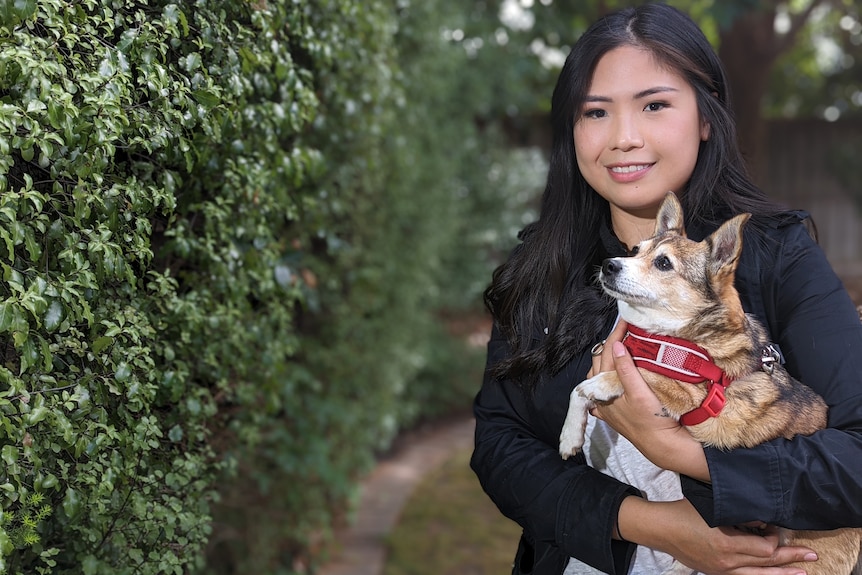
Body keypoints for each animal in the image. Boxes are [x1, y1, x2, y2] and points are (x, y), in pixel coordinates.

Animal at [556, 192, 860, 575]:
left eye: (664, 264)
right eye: (635, 250)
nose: (609, 264)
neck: (666, 335)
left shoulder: (682, 392)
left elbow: (597, 382)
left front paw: (585, 408)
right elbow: (576, 393)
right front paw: (570, 435)